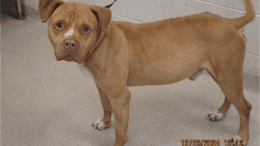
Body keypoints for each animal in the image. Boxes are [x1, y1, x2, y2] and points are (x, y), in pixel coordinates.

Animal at [39, 0, 256, 145]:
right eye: (59, 25)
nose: (70, 43)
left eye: (86, 28)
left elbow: (120, 132)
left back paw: (241, 136)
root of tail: (230, 22)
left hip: (228, 76)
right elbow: (106, 107)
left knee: (245, 107)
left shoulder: (121, 96)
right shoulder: (102, 87)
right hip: (225, 75)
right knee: (231, 98)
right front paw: (105, 123)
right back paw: (220, 113)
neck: (100, 41)